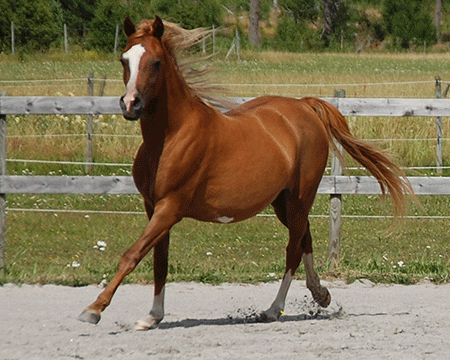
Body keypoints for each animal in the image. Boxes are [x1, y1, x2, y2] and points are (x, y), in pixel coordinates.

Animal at [78, 15, 414, 330]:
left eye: (156, 62)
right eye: (124, 59)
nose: (130, 104)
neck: (169, 137)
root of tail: (305, 107)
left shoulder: (170, 207)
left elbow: (132, 255)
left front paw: (93, 310)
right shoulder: (153, 207)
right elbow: (160, 261)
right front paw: (152, 316)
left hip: (299, 198)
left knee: (293, 249)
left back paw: (273, 310)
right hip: (283, 202)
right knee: (305, 237)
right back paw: (321, 294)